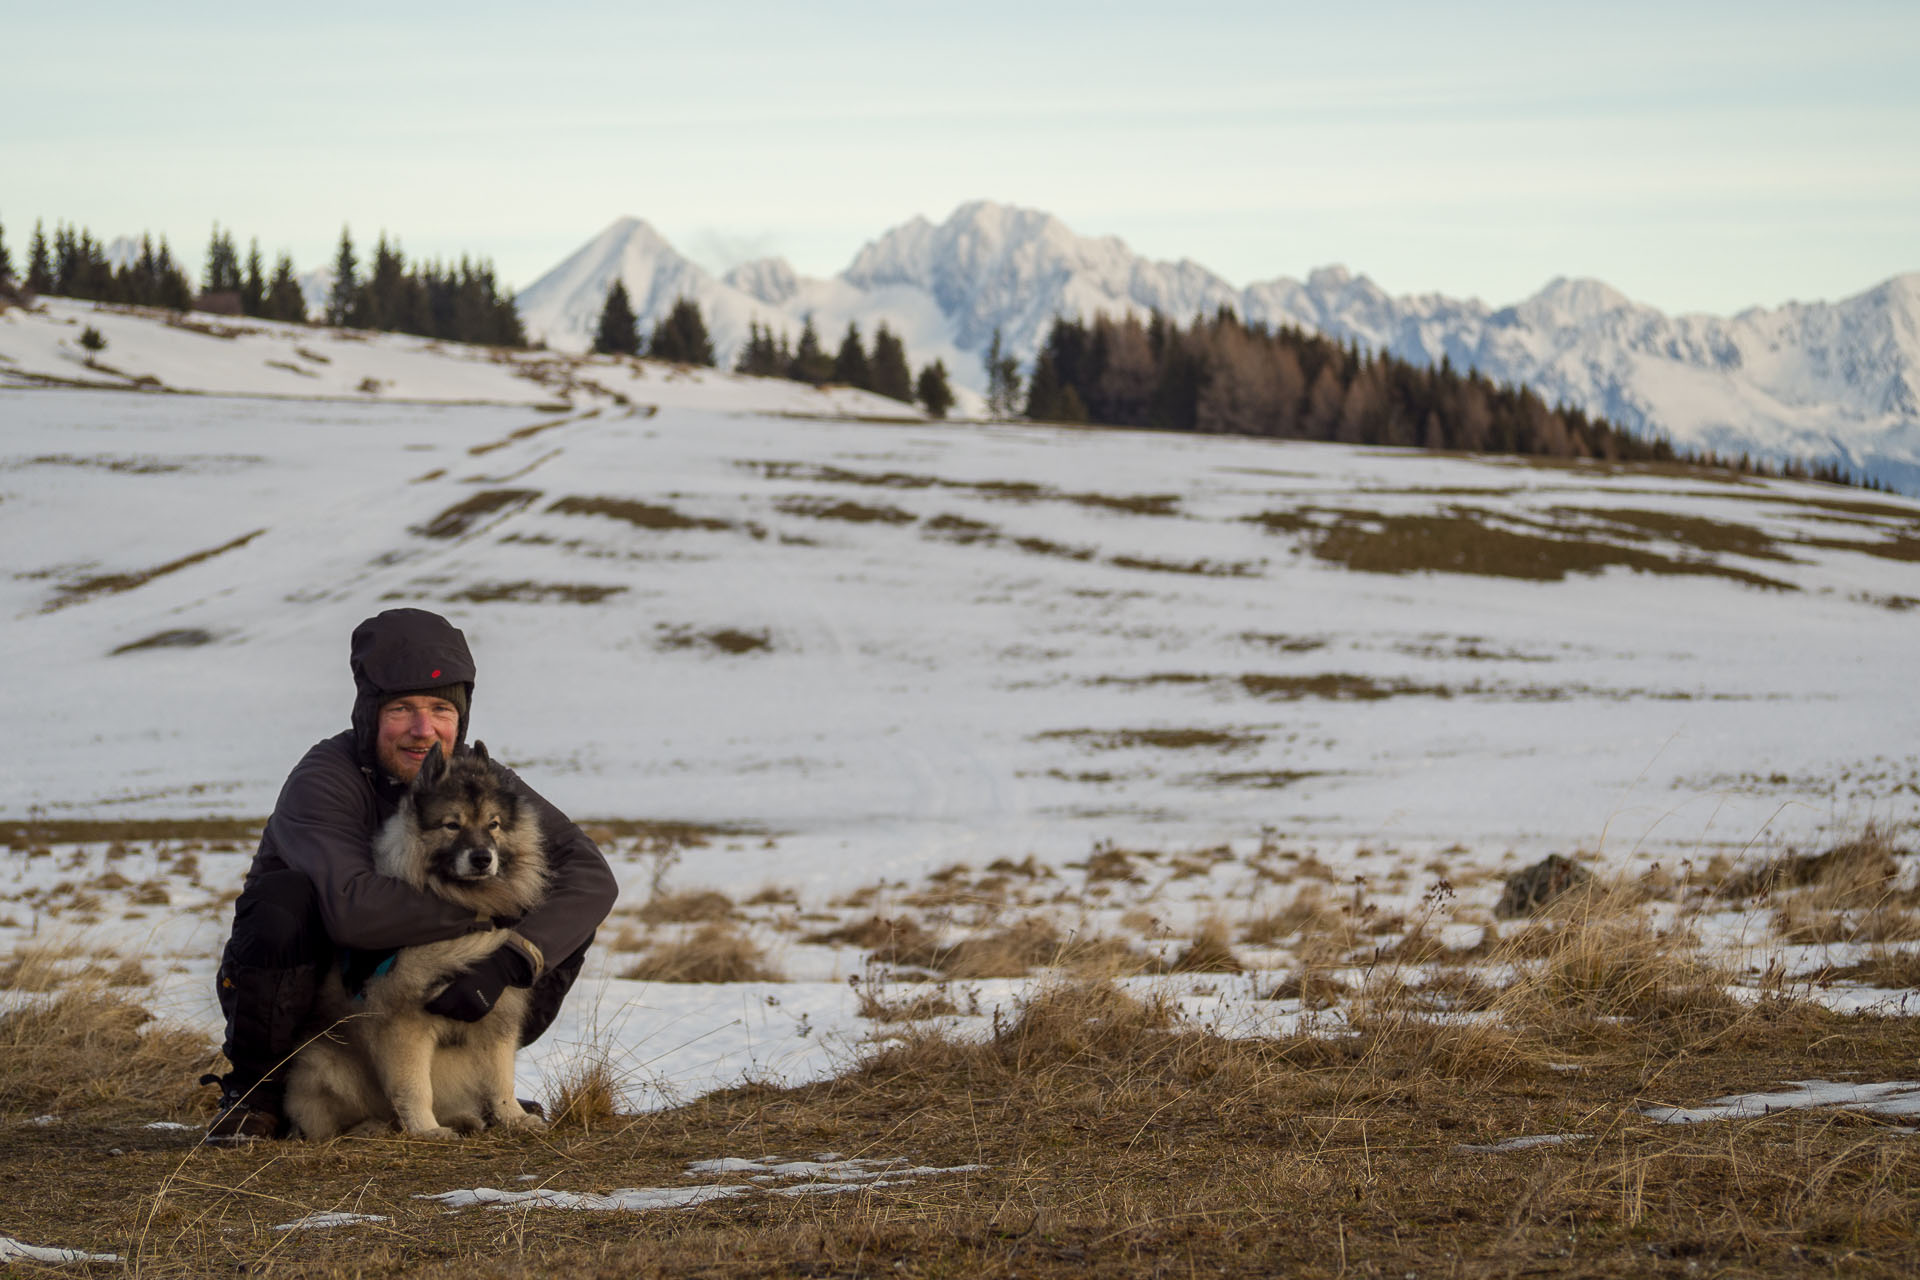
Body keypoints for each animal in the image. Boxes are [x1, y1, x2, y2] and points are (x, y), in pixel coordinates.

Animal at [284, 740, 556, 1143]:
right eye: (452, 825)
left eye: (493, 824)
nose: (482, 858)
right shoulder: (404, 1020)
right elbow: (414, 1084)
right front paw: (426, 1129)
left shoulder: (494, 1008)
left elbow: (500, 1075)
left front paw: (513, 1118)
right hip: (325, 1063)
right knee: (332, 1122)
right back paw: (374, 1127)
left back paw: (464, 1118)